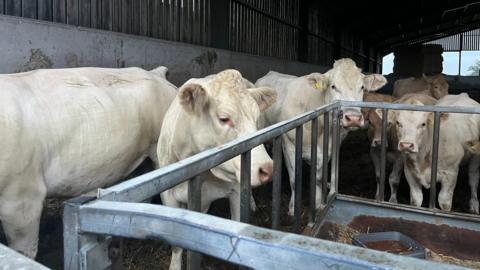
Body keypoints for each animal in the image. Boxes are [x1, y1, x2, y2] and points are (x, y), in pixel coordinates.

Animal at [157, 69, 276, 270]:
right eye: (224, 119)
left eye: (256, 118)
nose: (267, 168)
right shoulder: (168, 195)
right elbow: (177, 245)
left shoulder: (236, 190)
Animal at [255, 58, 386, 215]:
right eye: (333, 86)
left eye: (361, 87)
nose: (353, 118)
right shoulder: (289, 144)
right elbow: (294, 179)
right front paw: (292, 209)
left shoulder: (327, 148)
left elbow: (318, 178)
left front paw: (317, 204)